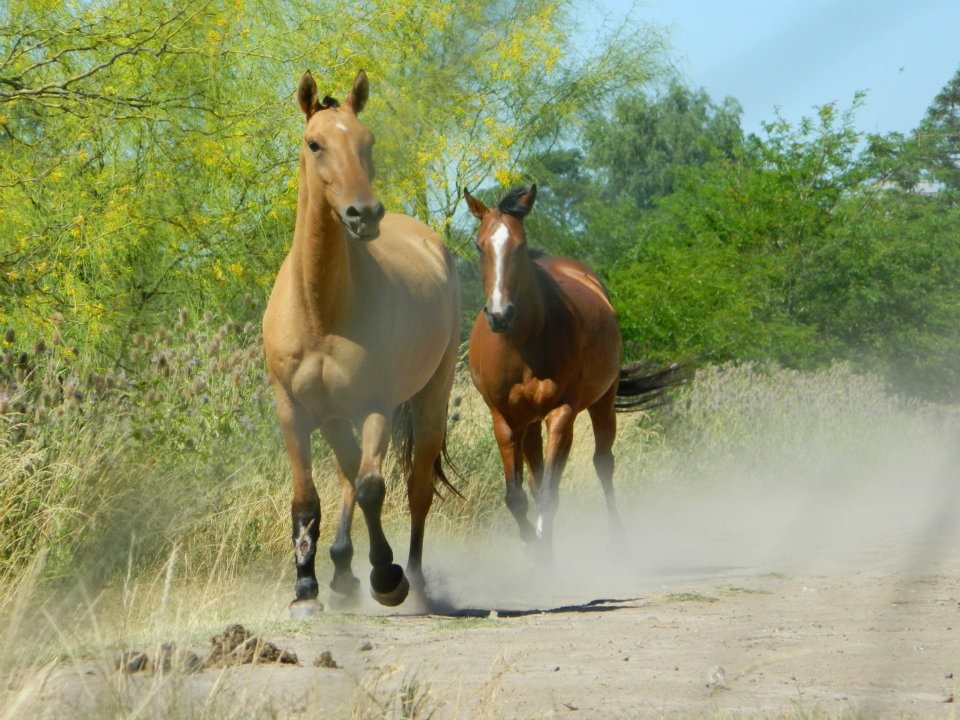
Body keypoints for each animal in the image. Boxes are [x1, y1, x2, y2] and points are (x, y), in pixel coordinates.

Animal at [260, 70, 460, 616]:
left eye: (367, 141)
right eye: (315, 143)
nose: (364, 214)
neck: (320, 311)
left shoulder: (376, 405)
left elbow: (373, 487)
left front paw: (387, 576)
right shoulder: (293, 409)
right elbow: (307, 497)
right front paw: (305, 589)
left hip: (431, 395)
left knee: (414, 487)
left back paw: (412, 577)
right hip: (332, 415)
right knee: (347, 474)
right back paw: (343, 571)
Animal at [464, 184, 684, 556]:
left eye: (520, 245)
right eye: (479, 245)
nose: (499, 314)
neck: (523, 345)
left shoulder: (561, 413)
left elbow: (549, 493)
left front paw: (546, 553)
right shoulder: (504, 418)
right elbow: (517, 496)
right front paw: (535, 548)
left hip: (602, 403)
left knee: (603, 463)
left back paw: (617, 541)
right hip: (529, 422)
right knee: (536, 476)